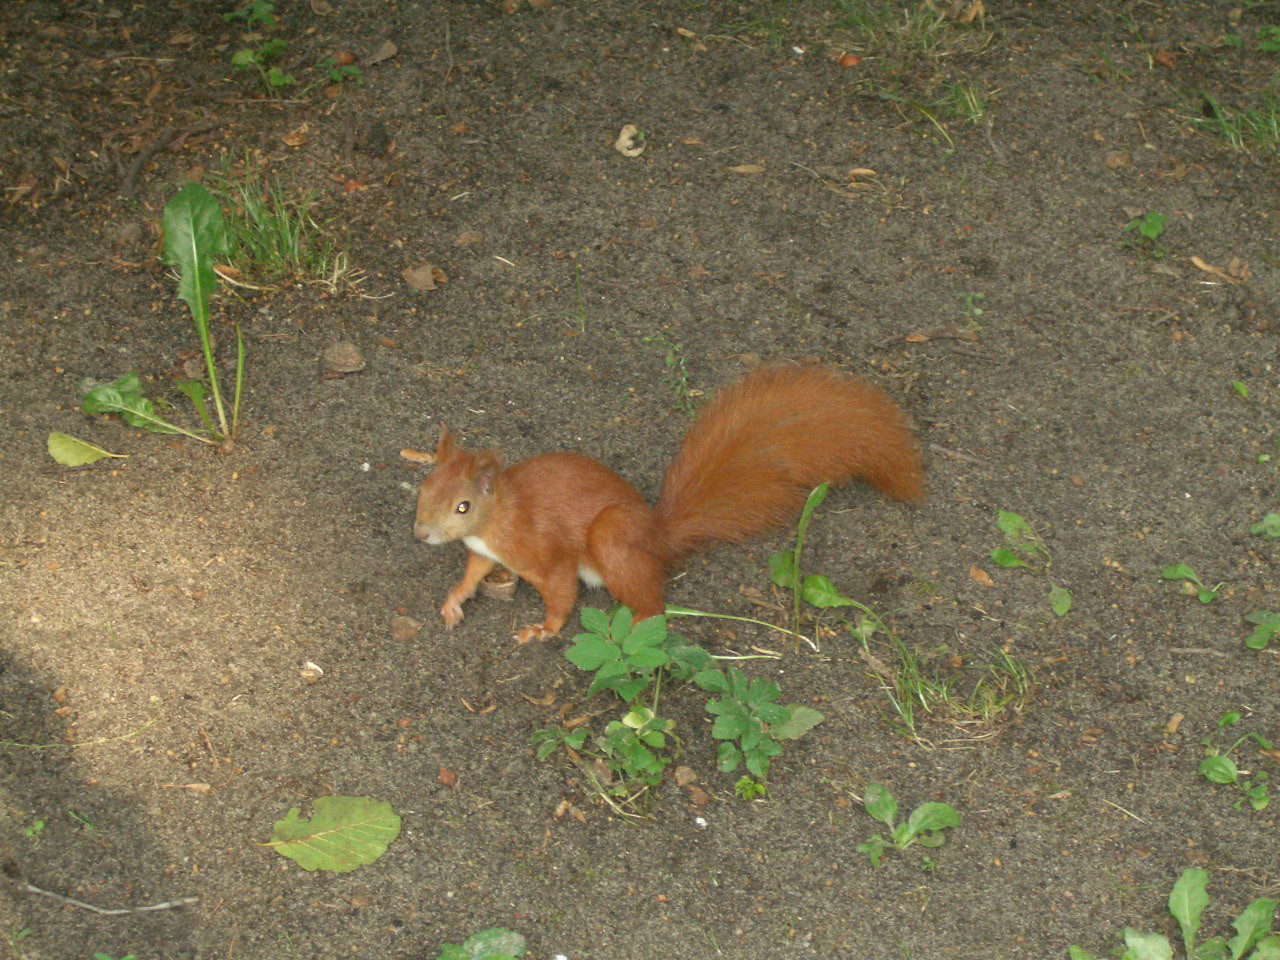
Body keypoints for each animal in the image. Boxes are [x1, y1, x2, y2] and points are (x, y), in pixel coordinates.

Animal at [414, 363, 926, 642]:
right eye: (423, 487)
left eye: (462, 506)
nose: (420, 534)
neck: (498, 515)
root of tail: (658, 538)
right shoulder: (484, 551)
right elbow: (473, 574)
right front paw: (453, 601)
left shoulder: (543, 552)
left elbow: (559, 593)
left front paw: (544, 629)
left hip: (612, 538)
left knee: (653, 604)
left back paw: (634, 623)